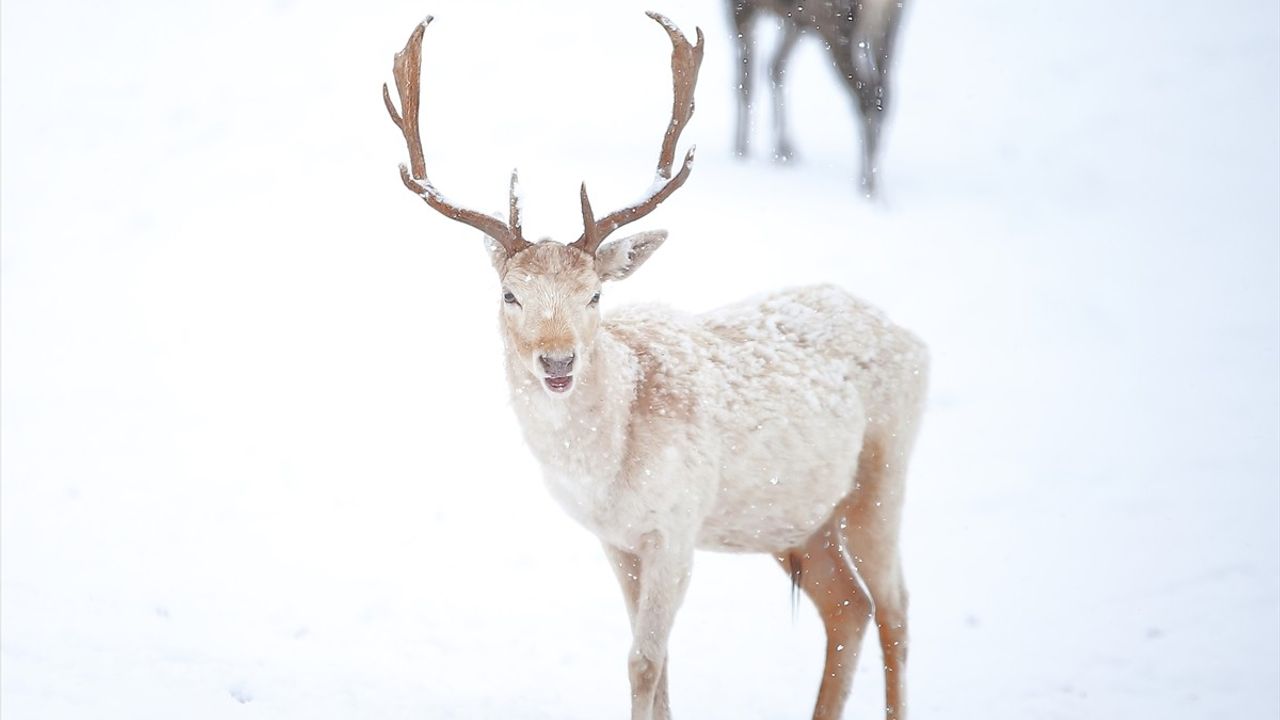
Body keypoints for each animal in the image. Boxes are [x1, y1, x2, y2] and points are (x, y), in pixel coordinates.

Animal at [732, 0, 911, 196]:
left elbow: (746, 84)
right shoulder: (797, 21)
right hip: (888, 29)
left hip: (837, 26)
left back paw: (868, 185)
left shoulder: (741, 7)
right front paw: (784, 150)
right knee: (883, 94)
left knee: (866, 94)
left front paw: (741, 152)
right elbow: (775, 68)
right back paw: (875, 184)